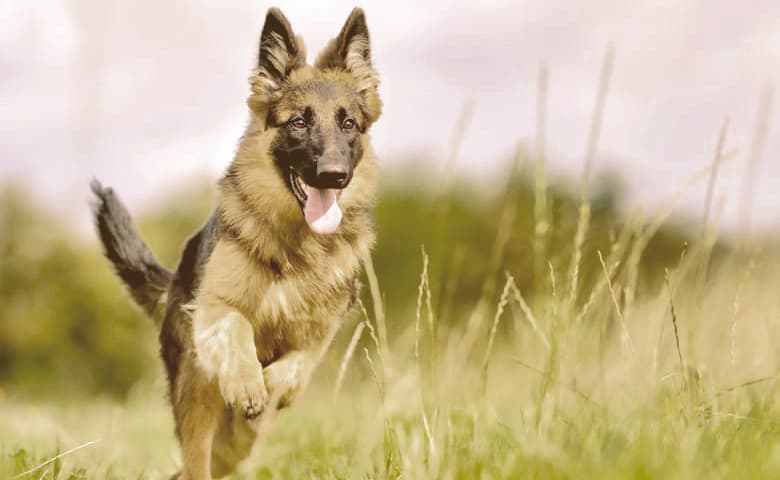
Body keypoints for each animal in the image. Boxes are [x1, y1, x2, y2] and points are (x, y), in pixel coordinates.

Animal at [90, 8, 380, 480]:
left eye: (348, 123)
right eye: (299, 122)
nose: (333, 175)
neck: (296, 246)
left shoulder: (322, 329)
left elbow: (300, 363)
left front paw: (273, 385)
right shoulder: (214, 305)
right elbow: (237, 325)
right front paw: (247, 382)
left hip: (236, 444)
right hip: (198, 400)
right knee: (195, 460)